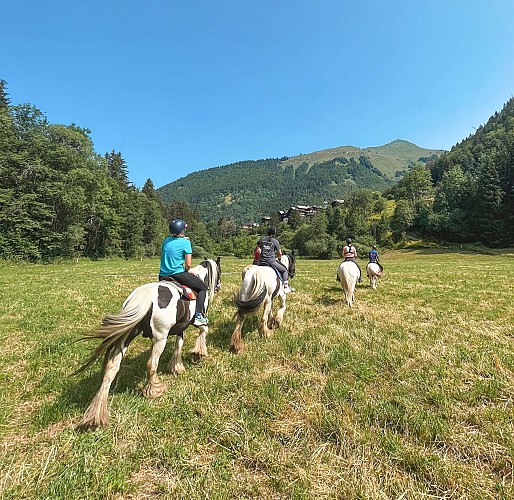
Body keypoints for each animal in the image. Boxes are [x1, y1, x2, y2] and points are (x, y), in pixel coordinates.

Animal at [75, 258, 219, 430]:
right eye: (219, 272)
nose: (218, 287)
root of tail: (143, 297)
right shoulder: (193, 322)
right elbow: (203, 330)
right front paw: (198, 353)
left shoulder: (180, 327)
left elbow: (179, 345)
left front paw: (176, 367)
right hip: (160, 337)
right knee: (151, 364)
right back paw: (155, 389)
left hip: (127, 336)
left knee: (111, 368)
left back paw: (96, 414)